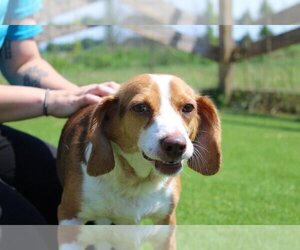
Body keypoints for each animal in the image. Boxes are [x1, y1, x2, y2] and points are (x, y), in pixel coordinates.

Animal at [56, 73, 220, 227]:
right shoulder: (69, 216)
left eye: (188, 107)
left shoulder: (166, 220)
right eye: (140, 107)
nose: (175, 145)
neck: (137, 181)